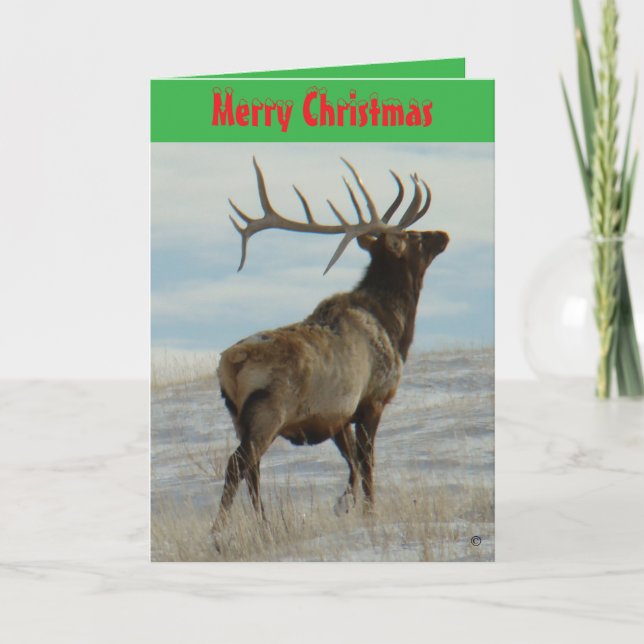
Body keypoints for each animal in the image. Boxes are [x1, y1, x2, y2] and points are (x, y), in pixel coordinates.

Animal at [213, 157, 449, 531]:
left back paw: (264, 524)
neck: (395, 328)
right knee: (239, 464)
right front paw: (368, 510)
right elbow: (366, 462)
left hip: (238, 416)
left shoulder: (336, 415)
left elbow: (351, 462)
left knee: (253, 469)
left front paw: (344, 504)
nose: (442, 234)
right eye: (412, 236)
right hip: (269, 411)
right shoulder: (372, 398)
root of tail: (231, 364)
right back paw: (219, 531)